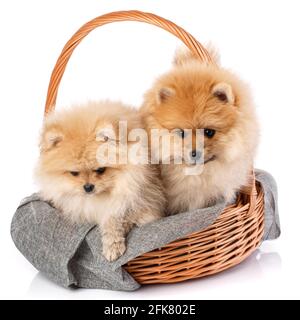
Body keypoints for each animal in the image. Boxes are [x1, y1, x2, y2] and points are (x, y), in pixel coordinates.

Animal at [35, 101, 166, 262]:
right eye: (74, 173)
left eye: (100, 170)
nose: (88, 187)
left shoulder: (143, 198)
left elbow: (117, 219)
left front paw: (113, 245)